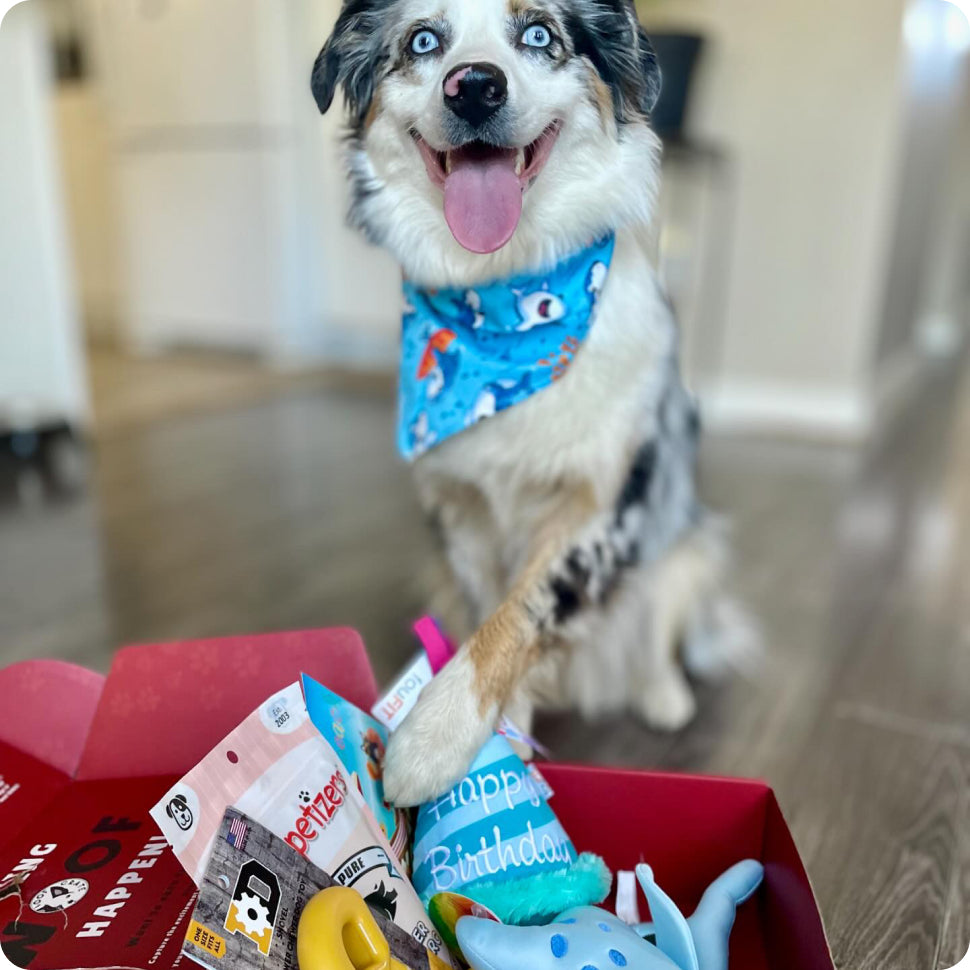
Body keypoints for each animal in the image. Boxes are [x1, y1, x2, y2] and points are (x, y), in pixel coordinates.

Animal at [310, 0, 748, 804]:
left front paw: (438, 735)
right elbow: (490, 614)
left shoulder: (602, 511)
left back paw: (663, 694)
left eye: (540, 33)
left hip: (689, 541)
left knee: (660, 625)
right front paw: (497, 736)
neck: (502, 307)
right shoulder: (458, 511)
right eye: (424, 40)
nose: (475, 87)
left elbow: (520, 614)